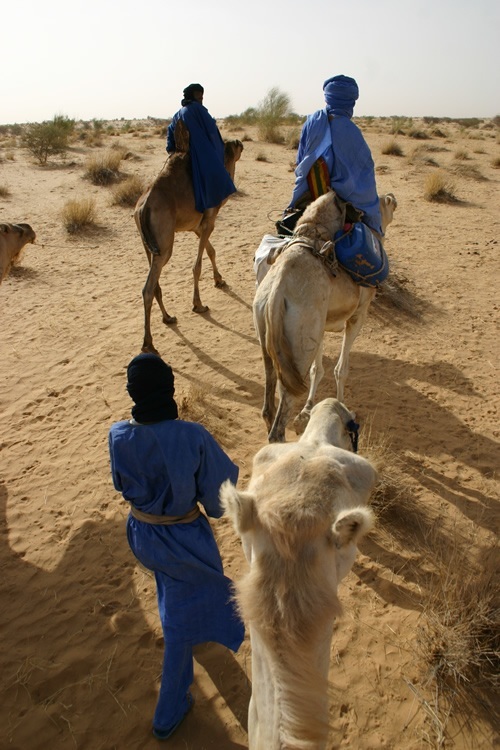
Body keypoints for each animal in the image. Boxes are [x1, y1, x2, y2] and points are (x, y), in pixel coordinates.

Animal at [133, 122, 242, 356]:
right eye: (232, 144)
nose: (240, 142)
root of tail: (142, 208)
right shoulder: (209, 219)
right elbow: (197, 265)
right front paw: (198, 305)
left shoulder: (197, 226)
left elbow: (211, 250)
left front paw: (219, 280)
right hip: (165, 243)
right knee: (148, 287)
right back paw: (148, 344)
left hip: (149, 244)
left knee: (154, 282)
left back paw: (168, 317)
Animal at [254, 191, 398, 444]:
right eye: (386, 203)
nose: (393, 197)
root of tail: (275, 295)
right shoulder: (358, 314)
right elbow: (341, 369)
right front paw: (343, 408)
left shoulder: (320, 324)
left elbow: (317, 369)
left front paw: (308, 409)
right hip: (298, 341)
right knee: (280, 418)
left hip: (270, 334)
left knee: (269, 398)